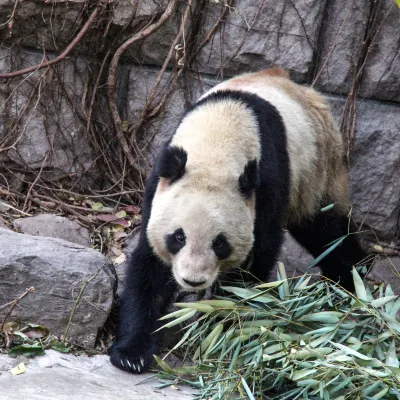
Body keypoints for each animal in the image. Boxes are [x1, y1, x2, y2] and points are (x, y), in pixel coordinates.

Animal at [109, 68, 368, 372]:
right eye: (178, 237)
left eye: (219, 243)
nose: (193, 281)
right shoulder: (161, 184)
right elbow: (150, 265)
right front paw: (132, 353)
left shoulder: (266, 183)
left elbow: (258, 254)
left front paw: (227, 322)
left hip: (318, 168)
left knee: (327, 231)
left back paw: (352, 279)